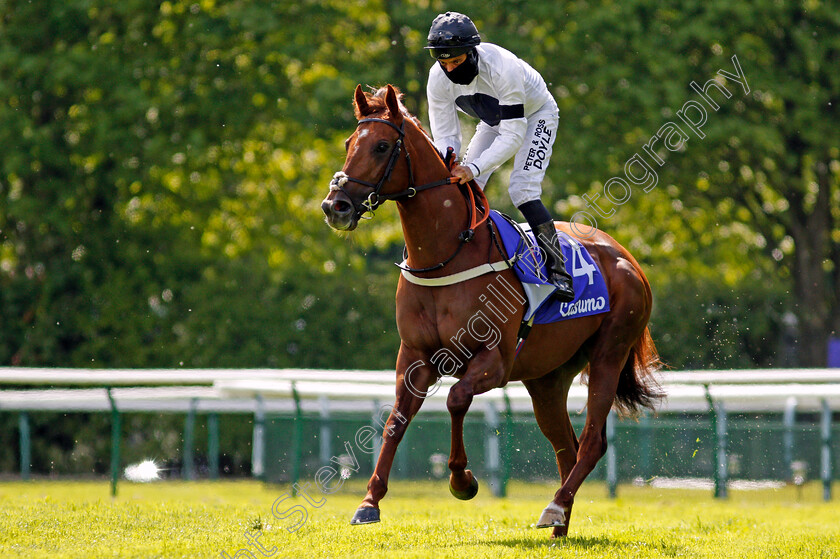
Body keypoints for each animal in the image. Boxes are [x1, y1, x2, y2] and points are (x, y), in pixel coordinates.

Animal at [322, 84, 664, 540]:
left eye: (381, 146)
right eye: (348, 144)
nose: (335, 205)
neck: (446, 255)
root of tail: (628, 258)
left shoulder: (495, 361)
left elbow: (455, 398)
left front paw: (462, 480)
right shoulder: (413, 356)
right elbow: (396, 419)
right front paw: (368, 502)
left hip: (609, 353)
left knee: (592, 441)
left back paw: (555, 508)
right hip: (547, 378)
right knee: (566, 447)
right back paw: (559, 524)